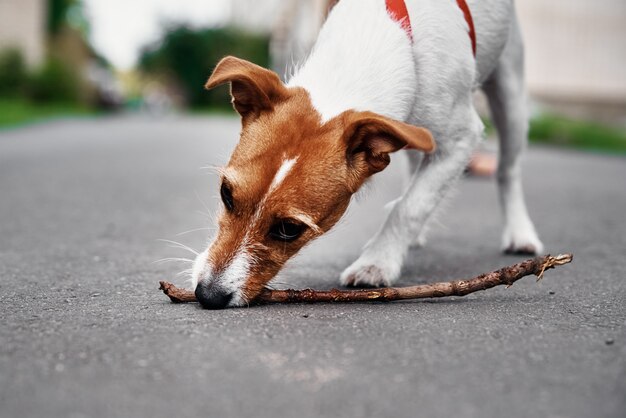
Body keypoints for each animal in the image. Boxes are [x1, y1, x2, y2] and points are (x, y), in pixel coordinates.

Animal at [190, 0, 540, 306]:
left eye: (289, 229)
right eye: (226, 194)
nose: (208, 296)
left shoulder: (462, 137)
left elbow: (411, 207)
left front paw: (378, 262)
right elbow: (416, 195)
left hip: (510, 94)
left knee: (507, 170)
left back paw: (520, 233)